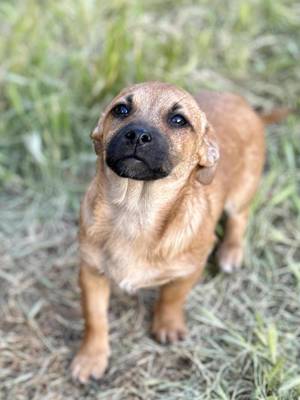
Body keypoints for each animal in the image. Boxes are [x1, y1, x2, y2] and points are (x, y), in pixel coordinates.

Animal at [71, 80, 286, 382]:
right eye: (121, 110)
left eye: (178, 120)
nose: (137, 135)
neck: (135, 212)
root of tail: (245, 105)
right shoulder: (90, 272)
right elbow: (95, 318)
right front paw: (91, 357)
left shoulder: (190, 270)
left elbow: (172, 298)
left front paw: (167, 325)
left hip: (241, 193)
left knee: (239, 219)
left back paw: (231, 253)